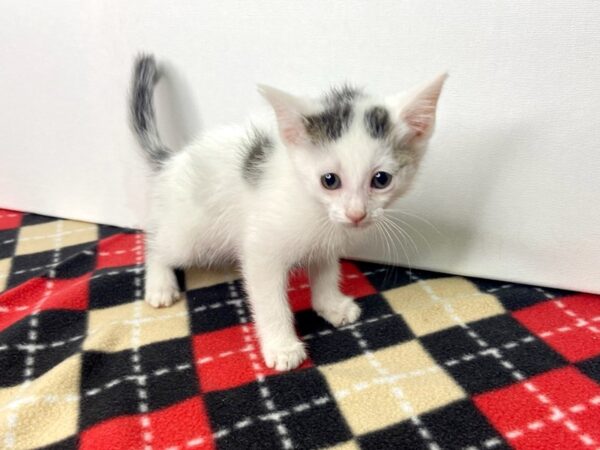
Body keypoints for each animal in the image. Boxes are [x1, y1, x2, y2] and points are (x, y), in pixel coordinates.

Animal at [129, 54, 446, 370]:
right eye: (329, 180)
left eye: (381, 179)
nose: (356, 214)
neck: (315, 209)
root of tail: (172, 160)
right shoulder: (261, 250)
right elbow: (269, 299)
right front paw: (282, 346)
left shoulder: (326, 242)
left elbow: (326, 270)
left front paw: (330, 304)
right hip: (190, 232)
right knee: (157, 244)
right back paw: (159, 285)